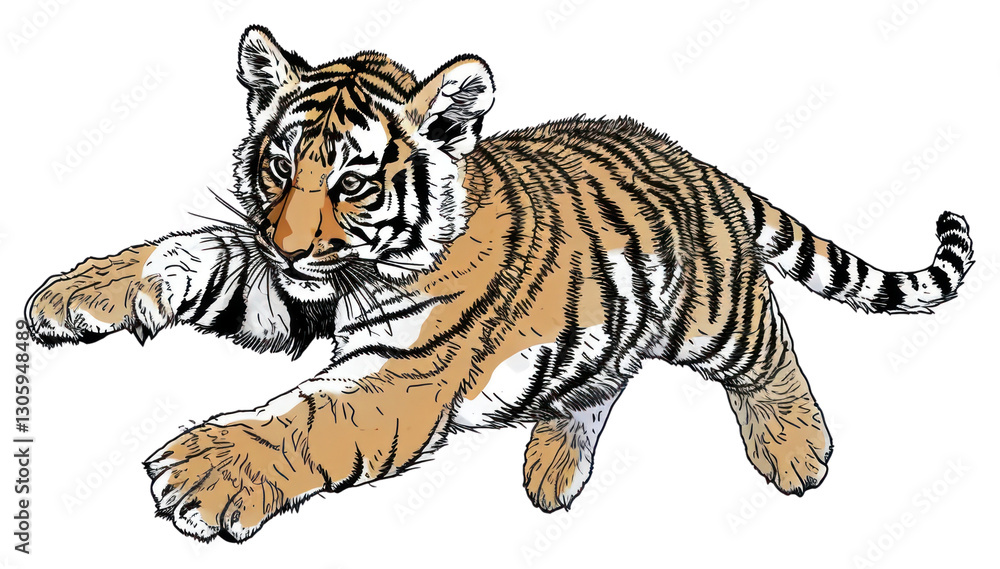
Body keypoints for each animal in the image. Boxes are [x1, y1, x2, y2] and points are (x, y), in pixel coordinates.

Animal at [26, 25, 974, 543]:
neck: (355, 270)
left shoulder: (404, 369)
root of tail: (692, 157)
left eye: (354, 183)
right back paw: (552, 469)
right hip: (606, 328)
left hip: (713, 312)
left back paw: (797, 452)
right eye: (279, 167)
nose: (288, 245)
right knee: (600, 379)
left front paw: (206, 472)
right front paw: (69, 295)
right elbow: (188, 253)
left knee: (770, 342)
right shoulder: (284, 290)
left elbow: (309, 413)